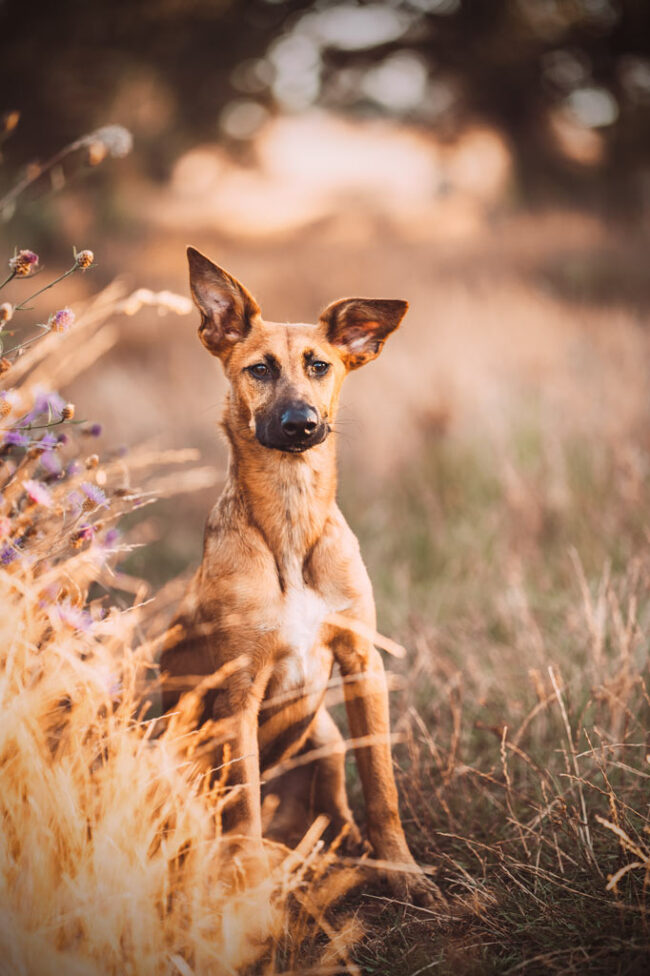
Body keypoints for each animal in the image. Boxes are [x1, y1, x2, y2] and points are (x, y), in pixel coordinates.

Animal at [159, 248, 430, 904]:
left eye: (319, 366)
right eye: (259, 369)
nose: (301, 423)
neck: (290, 514)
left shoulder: (363, 662)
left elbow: (381, 787)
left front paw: (401, 870)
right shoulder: (239, 690)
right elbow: (243, 807)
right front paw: (248, 880)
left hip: (326, 737)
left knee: (336, 812)